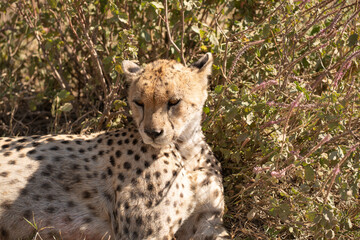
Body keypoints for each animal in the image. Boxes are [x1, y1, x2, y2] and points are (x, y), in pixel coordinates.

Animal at [0, 53, 229, 239]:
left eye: (174, 102)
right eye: (139, 102)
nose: (152, 133)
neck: (185, 151)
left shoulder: (208, 220)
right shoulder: (146, 233)